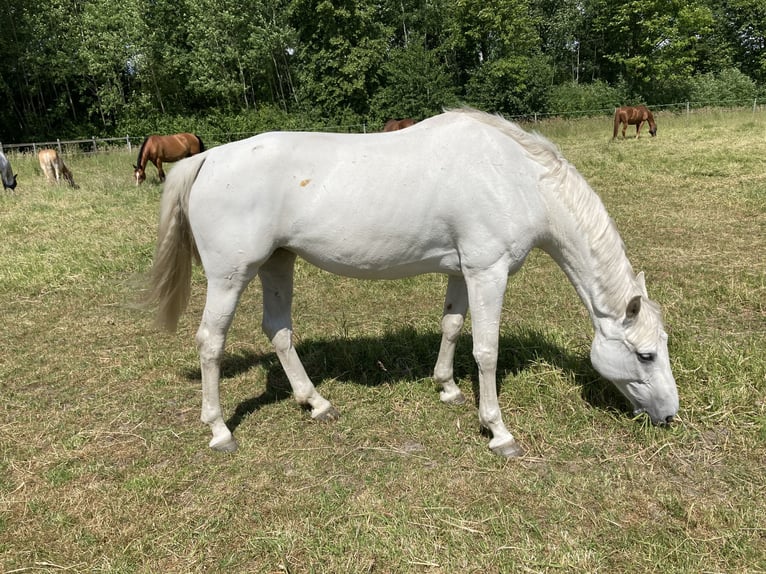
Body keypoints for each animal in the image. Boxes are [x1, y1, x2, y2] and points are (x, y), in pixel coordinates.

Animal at [147, 107, 680, 460]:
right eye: (645, 355)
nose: (670, 415)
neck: (516, 178)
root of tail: (208, 159)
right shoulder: (488, 272)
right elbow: (486, 350)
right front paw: (498, 431)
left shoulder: (463, 271)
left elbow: (451, 327)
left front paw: (447, 388)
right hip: (230, 276)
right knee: (210, 342)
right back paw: (220, 430)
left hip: (277, 263)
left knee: (278, 330)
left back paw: (316, 403)